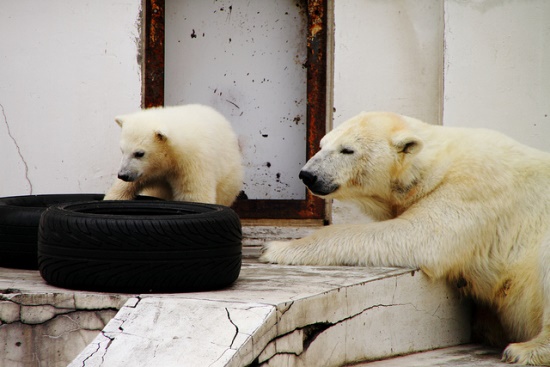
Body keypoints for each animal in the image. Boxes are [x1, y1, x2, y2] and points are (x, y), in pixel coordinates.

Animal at [262, 111, 550, 366]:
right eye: (322, 144)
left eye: (347, 150)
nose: (308, 174)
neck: (437, 166)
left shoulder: (471, 189)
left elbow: (417, 236)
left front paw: (277, 248)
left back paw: (524, 350)